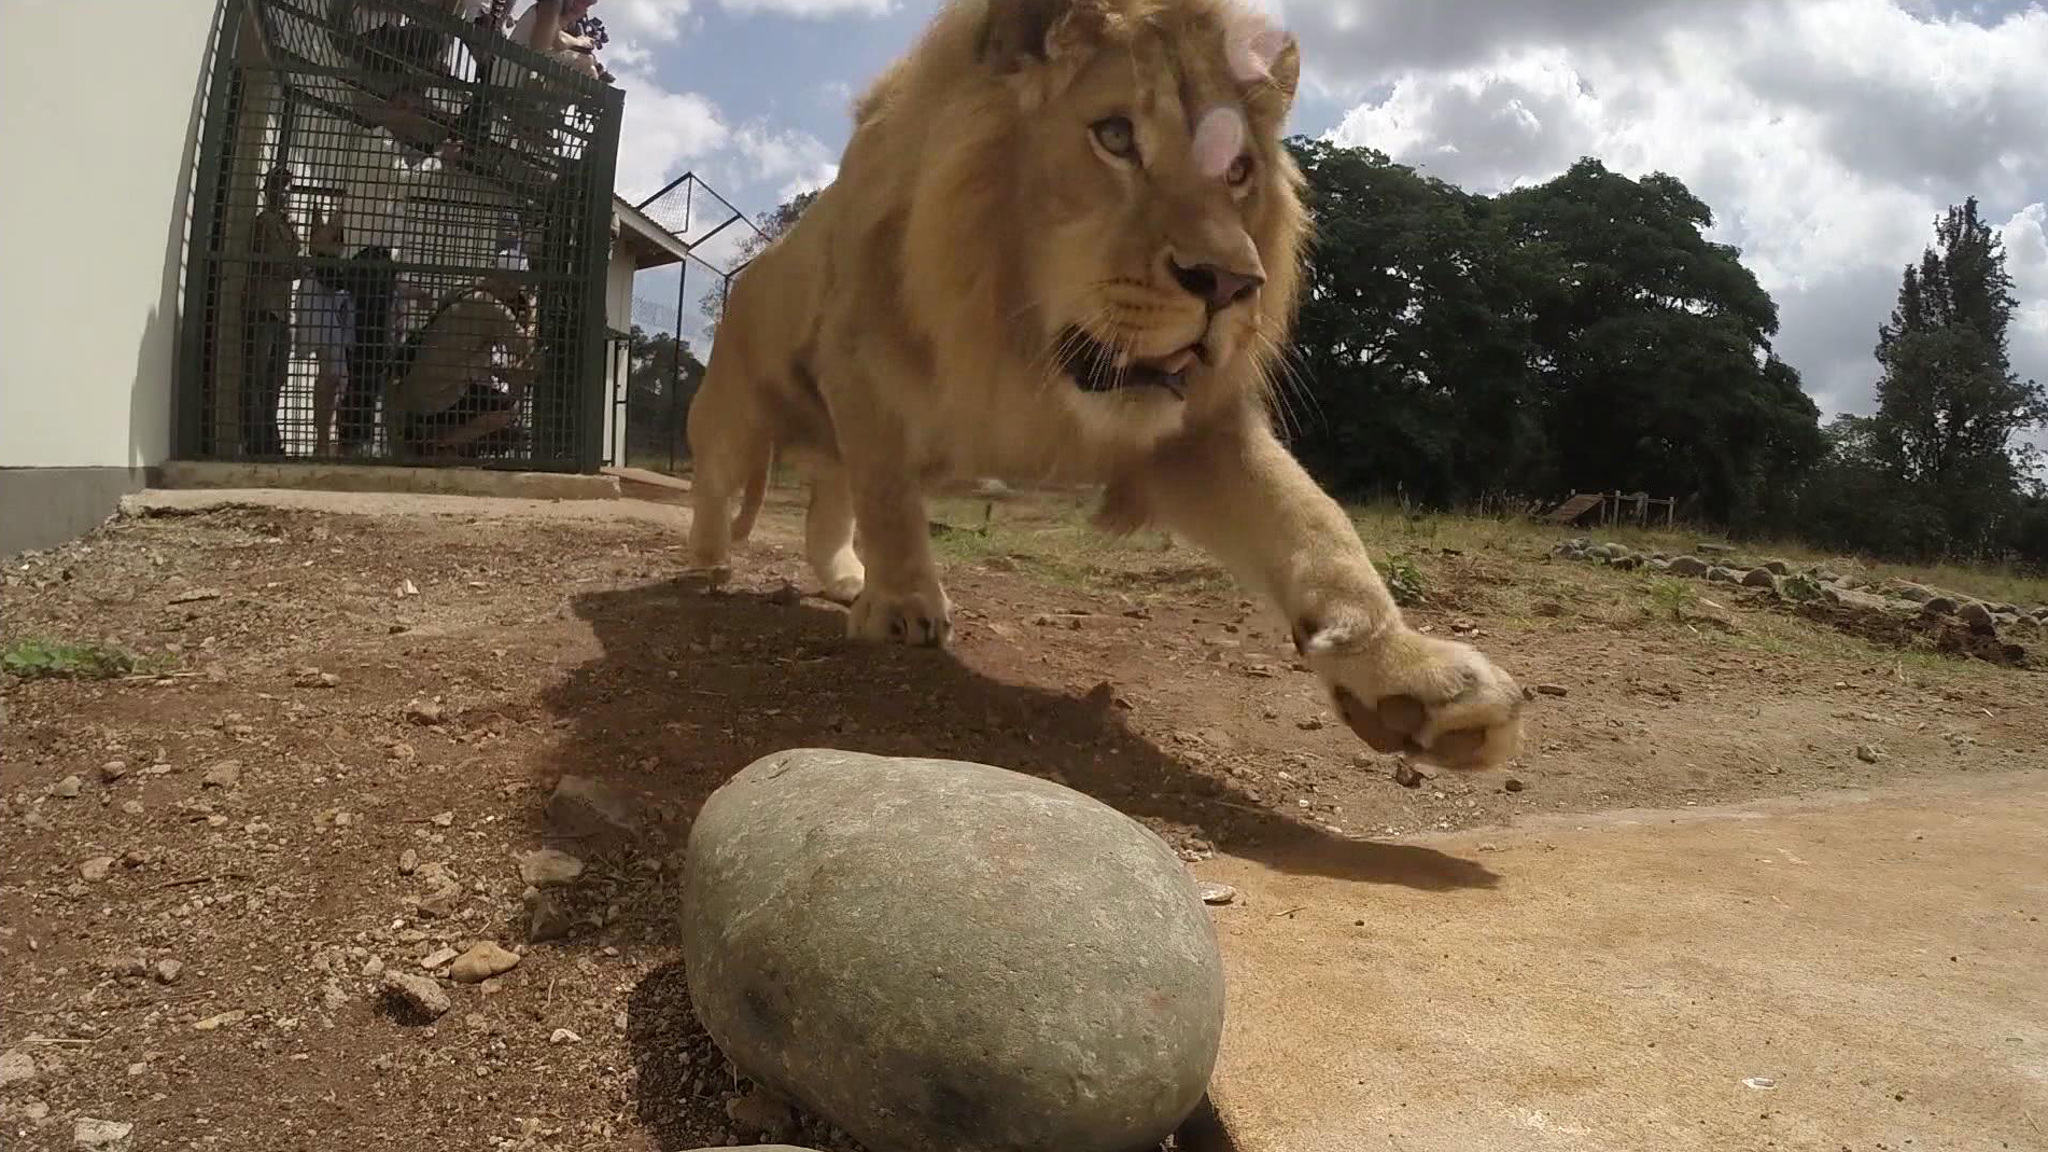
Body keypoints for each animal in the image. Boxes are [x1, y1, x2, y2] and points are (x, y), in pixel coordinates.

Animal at [684, 0, 1525, 769]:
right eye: (1115, 137)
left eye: (1239, 171)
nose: (1231, 286)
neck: (1016, 349)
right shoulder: (861, 362)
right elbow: (890, 495)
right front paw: (902, 607)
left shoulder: (1192, 429)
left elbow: (1313, 521)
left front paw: (1411, 677)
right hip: (732, 414)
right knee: (719, 485)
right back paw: (712, 563)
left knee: (827, 498)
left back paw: (839, 578)